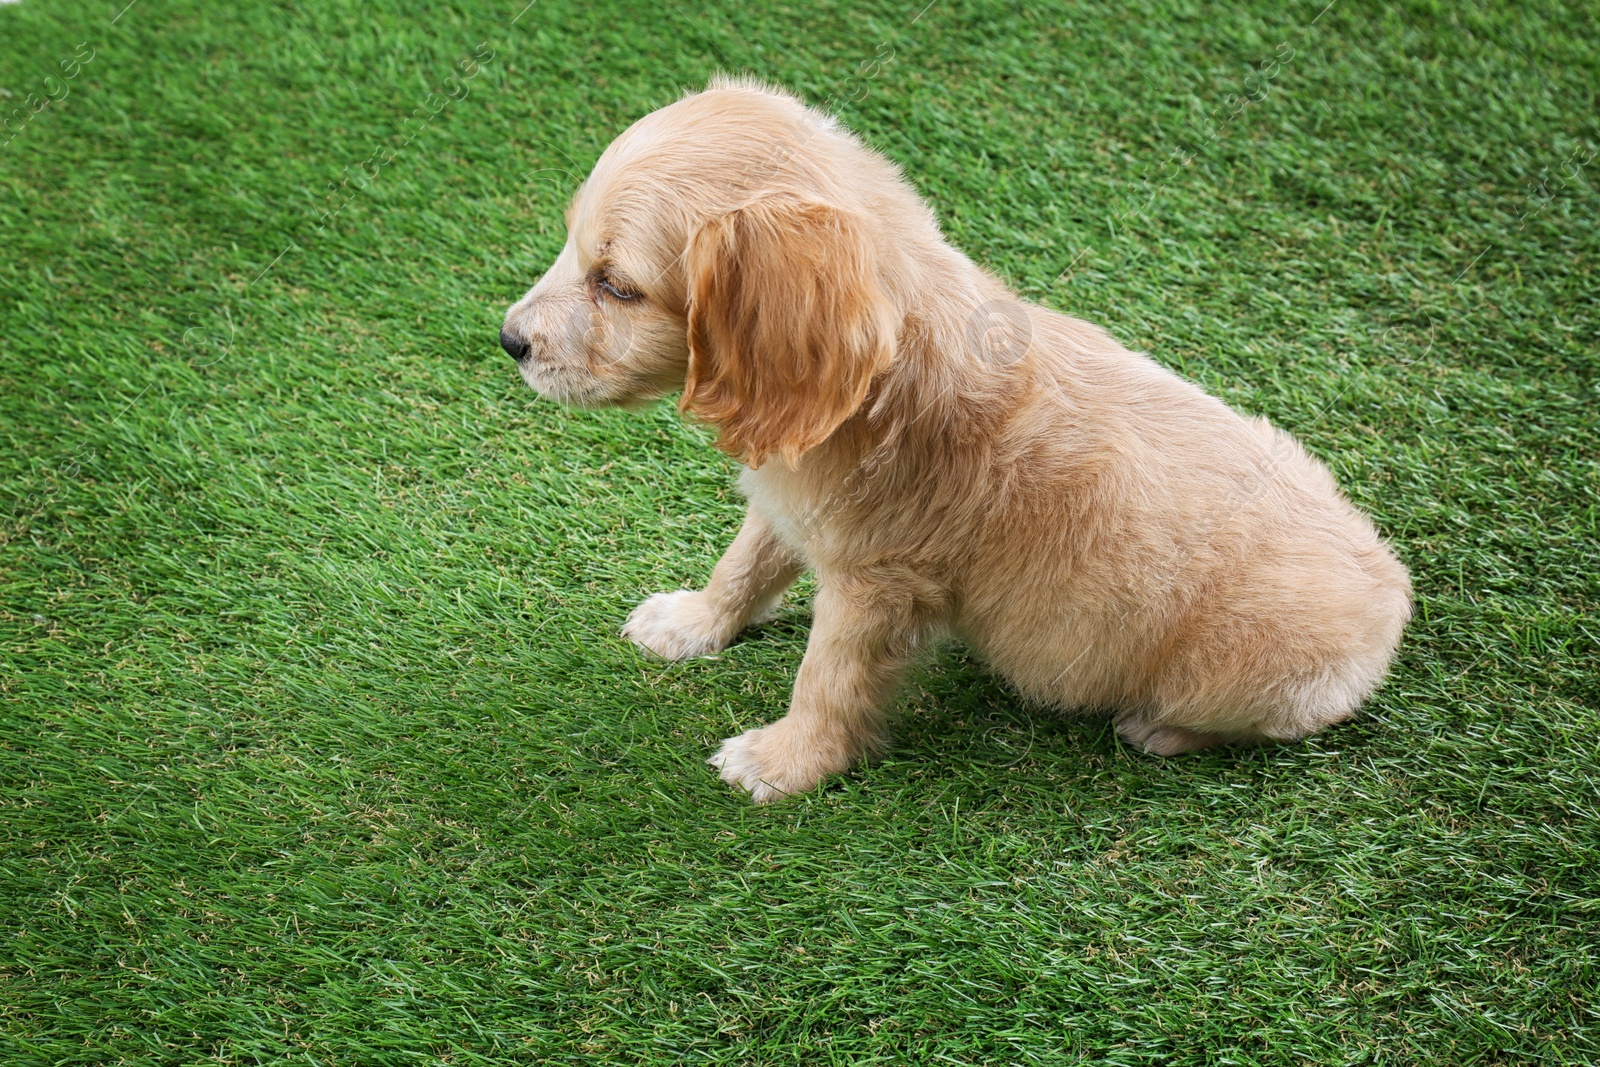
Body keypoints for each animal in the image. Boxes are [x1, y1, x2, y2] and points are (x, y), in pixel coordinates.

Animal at [499, 79, 1414, 806]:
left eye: (617, 286)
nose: (508, 340)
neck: (878, 376)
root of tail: (1395, 594)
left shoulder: (878, 580)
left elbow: (826, 677)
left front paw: (786, 761)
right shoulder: (793, 504)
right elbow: (745, 563)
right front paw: (695, 621)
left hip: (1245, 675)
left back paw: (1160, 729)